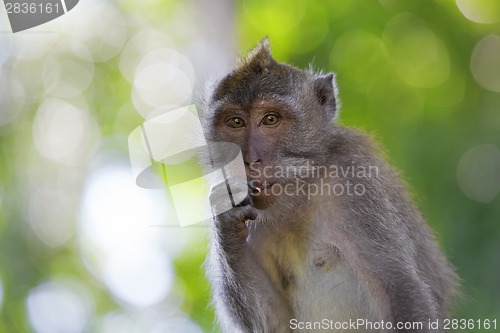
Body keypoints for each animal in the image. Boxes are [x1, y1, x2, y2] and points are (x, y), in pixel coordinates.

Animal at [201, 37, 458, 330]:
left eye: (270, 119)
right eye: (236, 122)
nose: (248, 159)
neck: (303, 190)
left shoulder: (354, 180)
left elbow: (400, 290)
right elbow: (277, 323)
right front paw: (227, 219)